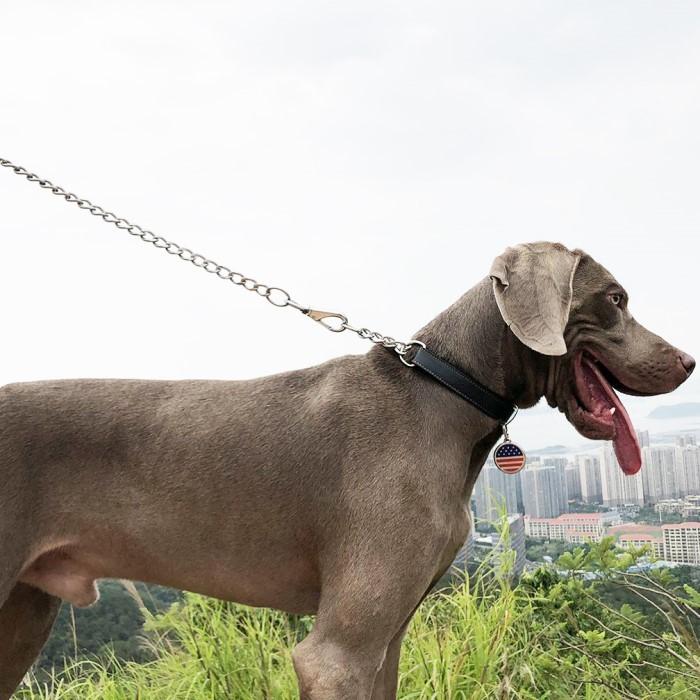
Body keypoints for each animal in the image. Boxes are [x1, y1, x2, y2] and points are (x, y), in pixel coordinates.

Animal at [0, 242, 696, 700]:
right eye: (615, 298)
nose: (688, 361)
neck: (439, 395)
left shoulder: (387, 640)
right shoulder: (336, 655)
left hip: (24, 613)